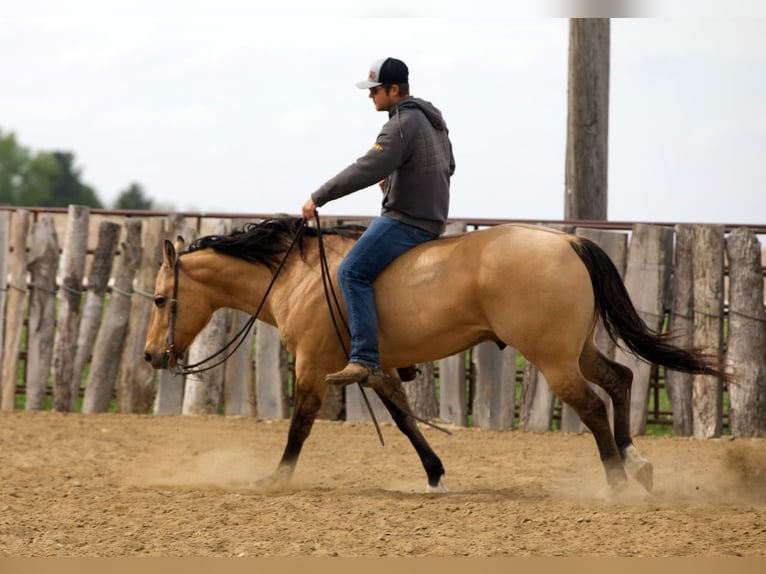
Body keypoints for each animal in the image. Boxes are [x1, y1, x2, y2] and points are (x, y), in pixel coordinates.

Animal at [143, 217, 730, 495]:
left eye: (159, 299)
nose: (151, 356)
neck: (299, 274)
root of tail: (567, 243)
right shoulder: (374, 368)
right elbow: (406, 421)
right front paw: (435, 474)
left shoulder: (312, 365)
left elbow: (300, 426)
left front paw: (277, 478)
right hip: (577, 350)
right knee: (622, 379)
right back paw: (636, 463)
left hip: (554, 360)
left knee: (591, 406)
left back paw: (615, 483)